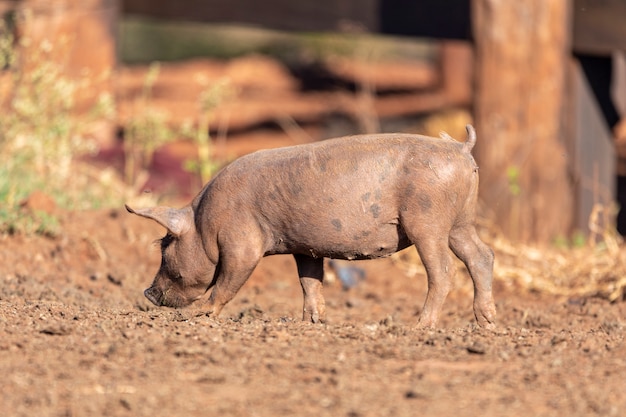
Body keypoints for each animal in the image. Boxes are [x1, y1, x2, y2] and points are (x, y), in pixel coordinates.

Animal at [127, 124, 494, 328]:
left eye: (165, 245)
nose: (147, 292)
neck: (204, 221)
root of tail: (460, 147)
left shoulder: (241, 243)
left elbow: (229, 279)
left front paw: (197, 316)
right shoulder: (305, 248)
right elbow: (309, 281)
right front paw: (311, 322)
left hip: (428, 220)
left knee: (444, 269)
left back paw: (420, 328)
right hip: (461, 221)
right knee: (482, 256)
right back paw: (487, 324)